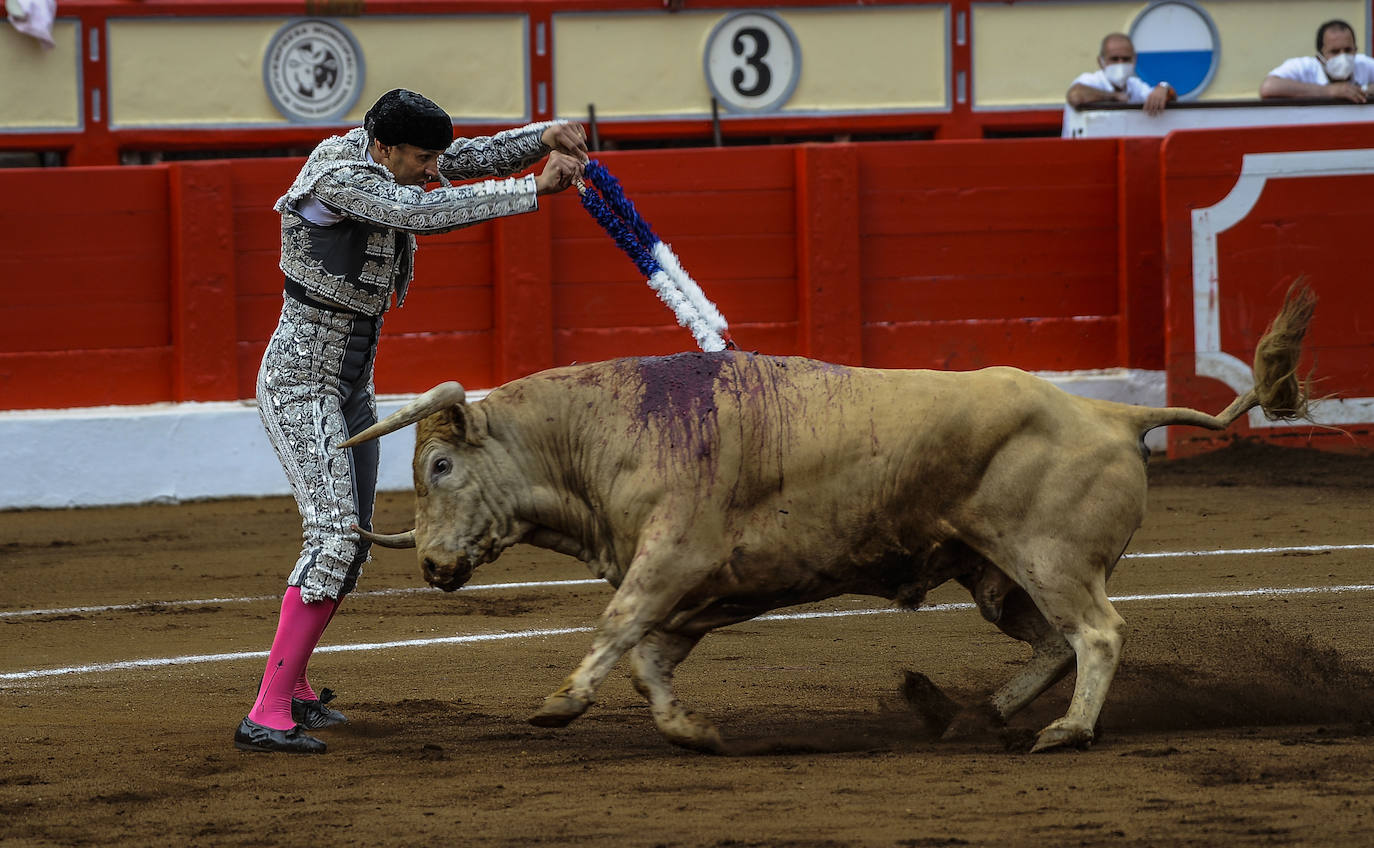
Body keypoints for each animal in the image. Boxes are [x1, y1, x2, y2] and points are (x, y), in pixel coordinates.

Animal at [338, 285, 1313, 753]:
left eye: (438, 466)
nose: (431, 565)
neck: (593, 433)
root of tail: (1115, 413)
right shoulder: (700, 592)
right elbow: (649, 661)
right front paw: (692, 732)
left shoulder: (671, 558)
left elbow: (616, 630)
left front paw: (559, 704)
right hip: (995, 573)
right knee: (1050, 643)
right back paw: (969, 712)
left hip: (1051, 558)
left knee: (1099, 633)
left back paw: (1065, 732)